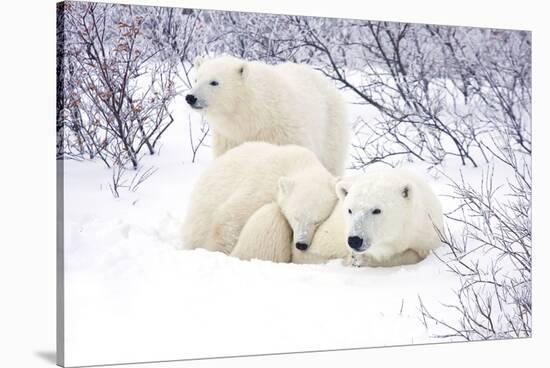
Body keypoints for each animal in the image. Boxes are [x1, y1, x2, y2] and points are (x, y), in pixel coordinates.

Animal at [183, 142, 338, 258]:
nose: (301, 244)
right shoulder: (262, 186)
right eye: (295, 217)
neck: (298, 164)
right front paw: (218, 250)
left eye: (318, 221)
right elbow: (232, 217)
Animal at [185, 55, 350, 175]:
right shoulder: (229, 138)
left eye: (214, 82)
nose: (191, 97)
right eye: (196, 79)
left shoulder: (283, 133)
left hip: (330, 126)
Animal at [236, 167, 444, 268]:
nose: (354, 240)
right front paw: (352, 260)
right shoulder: (330, 234)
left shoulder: (427, 232)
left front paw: (360, 260)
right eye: (349, 210)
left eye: (376, 210)